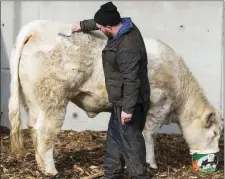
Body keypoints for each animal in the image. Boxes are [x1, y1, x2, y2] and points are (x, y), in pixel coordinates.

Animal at [7, 19, 223, 175]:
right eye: (215, 133)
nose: (215, 157)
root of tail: (39, 26)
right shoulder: (157, 107)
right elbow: (149, 135)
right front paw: (151, 164)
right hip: (52, 99)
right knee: (45, 131)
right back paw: (51, 170)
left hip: (35, 102)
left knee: (33, 128)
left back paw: (41, 166)